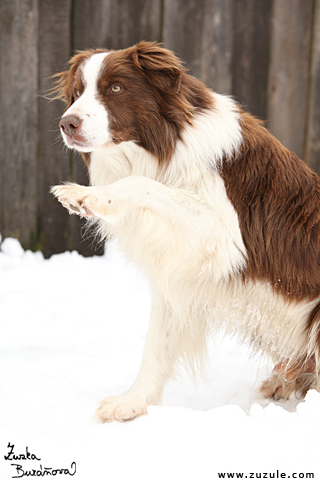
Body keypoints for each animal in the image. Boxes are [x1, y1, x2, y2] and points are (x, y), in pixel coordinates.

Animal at [50, 43, 320, 422]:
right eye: (77, 92)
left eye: (116, 88)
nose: (66, 123)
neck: (164, 145)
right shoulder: (176, 270)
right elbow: (156, 345)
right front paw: (132, 403)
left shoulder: (222, 234)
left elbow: (140, 183)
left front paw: (84, 196)